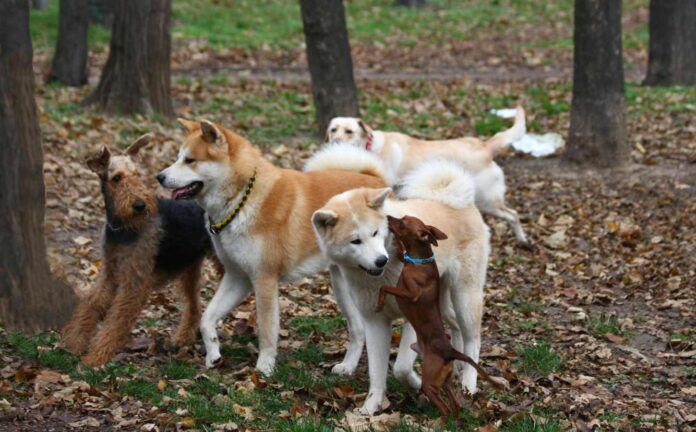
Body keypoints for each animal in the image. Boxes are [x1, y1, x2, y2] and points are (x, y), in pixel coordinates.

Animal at [156, 121, 386, 374]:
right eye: (178, 157)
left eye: (190, 160)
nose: (159, 177)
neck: (242, 199)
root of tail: (376, 180)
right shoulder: (237, 277)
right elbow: (206, 319)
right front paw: (213, 355)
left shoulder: (264, 279)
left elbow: (266, 331)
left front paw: (263, 368)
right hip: (342, 285)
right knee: (358, 330)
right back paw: (347, 367)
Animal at [310, 159, 490, 416]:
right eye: (356, 241)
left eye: (375, 233)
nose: (380, 261)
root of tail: (459, 200)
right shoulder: (375, 322)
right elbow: (377, 372)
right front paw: (371, 406)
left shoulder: (415, 318)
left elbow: (401, 368)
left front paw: (418, 384)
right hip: (442, 302)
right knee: (455, 327)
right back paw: (454, 367)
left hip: (465, 295)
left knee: (473, 340)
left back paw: (468, 384)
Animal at [378, 214, 502, 420]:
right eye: (402, 217)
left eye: (402, 223)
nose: (387, 217)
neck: (421, 261)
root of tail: (450, 352)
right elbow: (400, 256)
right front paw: (397, 246)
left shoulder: (411, 294)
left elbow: (384, 287)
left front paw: (379, 303)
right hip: (444, 381)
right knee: (455, 406)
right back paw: (455, 422)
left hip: (430, 382)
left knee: (445, 408)